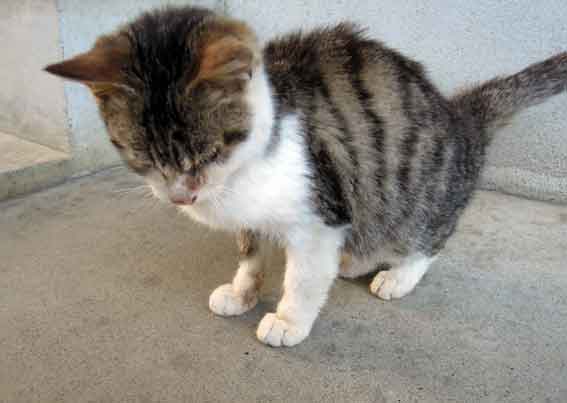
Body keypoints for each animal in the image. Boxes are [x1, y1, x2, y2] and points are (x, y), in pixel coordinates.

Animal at [45, 6, 567, 347]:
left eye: (208, 152)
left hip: (416, 197)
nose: (180, 197)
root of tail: (459, 116)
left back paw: (398, 275)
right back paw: (352, 261)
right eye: (140, 156)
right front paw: (242, 291)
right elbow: (250, 252)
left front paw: (288, 320)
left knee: (427, 238)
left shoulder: (319, 214)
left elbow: (301, 276)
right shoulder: (252, 217)